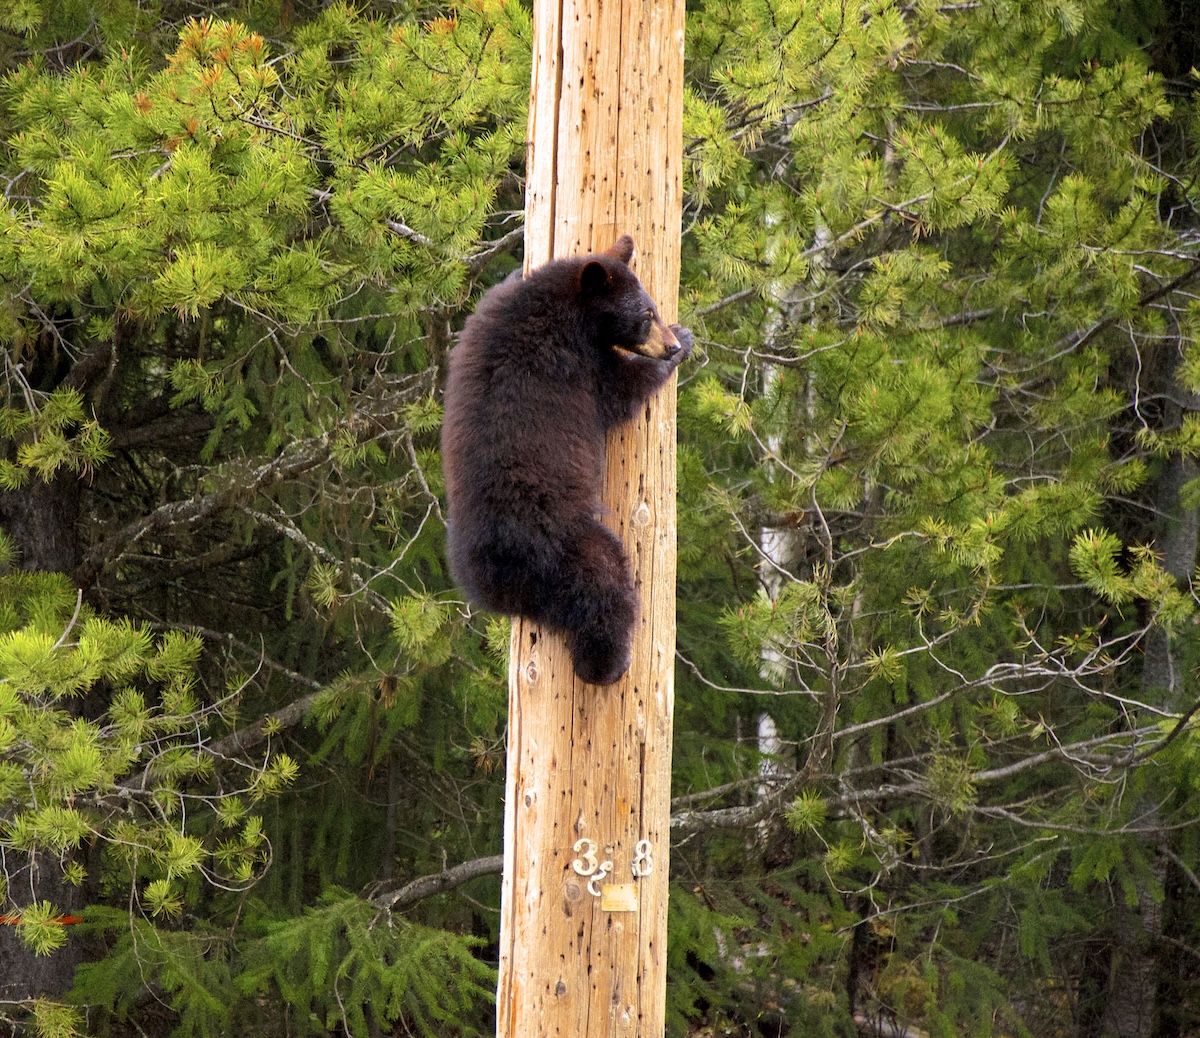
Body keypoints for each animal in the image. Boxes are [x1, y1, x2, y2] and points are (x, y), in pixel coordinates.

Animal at [441, 235, 693, 685]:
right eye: (647, 314)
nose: (672, 345)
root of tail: (499, 576)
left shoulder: (489, 309)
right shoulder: (575, 365)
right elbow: (621, 389)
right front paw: (678, 346)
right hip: (569, 544)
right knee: (604, 591)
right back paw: (607, 665)